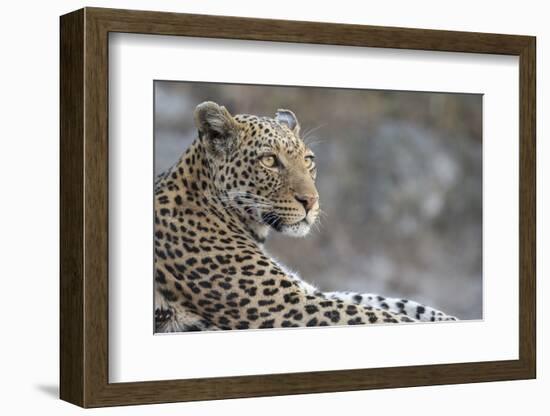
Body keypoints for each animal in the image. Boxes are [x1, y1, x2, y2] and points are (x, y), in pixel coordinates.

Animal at [155, 102, 458, 334]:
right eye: (269, 160)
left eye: (308, 160)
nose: (310, 201)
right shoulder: (289, 306)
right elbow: (378, 314)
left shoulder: (304, 292)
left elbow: (385, 301)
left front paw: (448, 318)